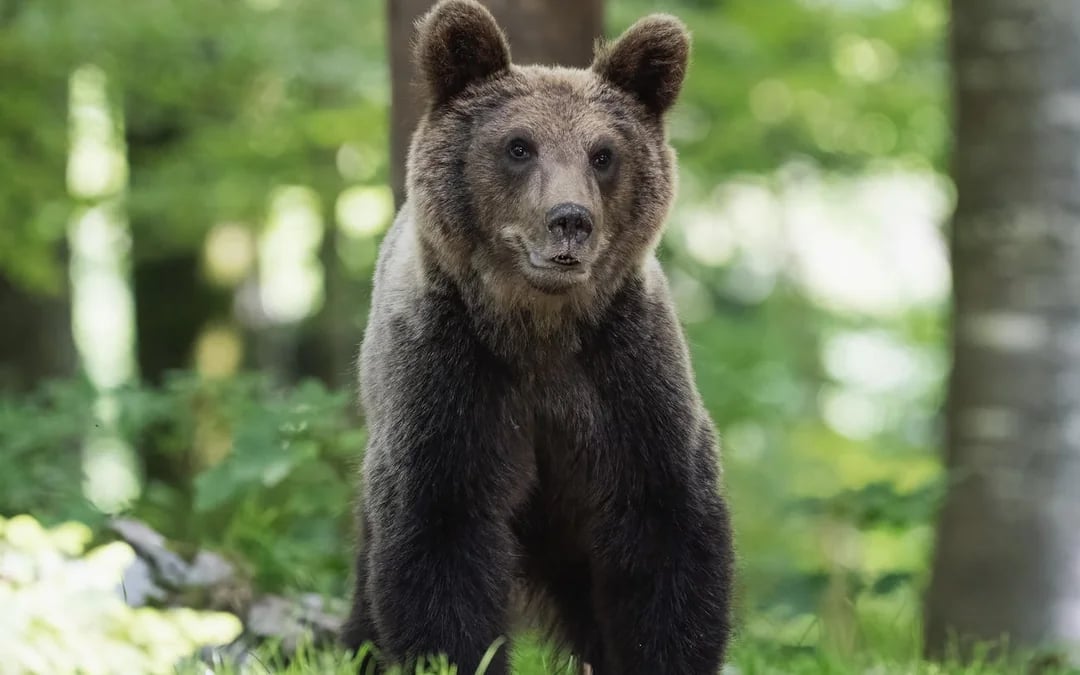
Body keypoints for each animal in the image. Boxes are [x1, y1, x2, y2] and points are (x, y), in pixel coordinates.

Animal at [341, 1, 735, 673]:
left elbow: (666, 531)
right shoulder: (451, 382)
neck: (540, 331)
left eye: (603, 153)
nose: (570, 220)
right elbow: (440, 540)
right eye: (518, 146)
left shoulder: (626, 381)